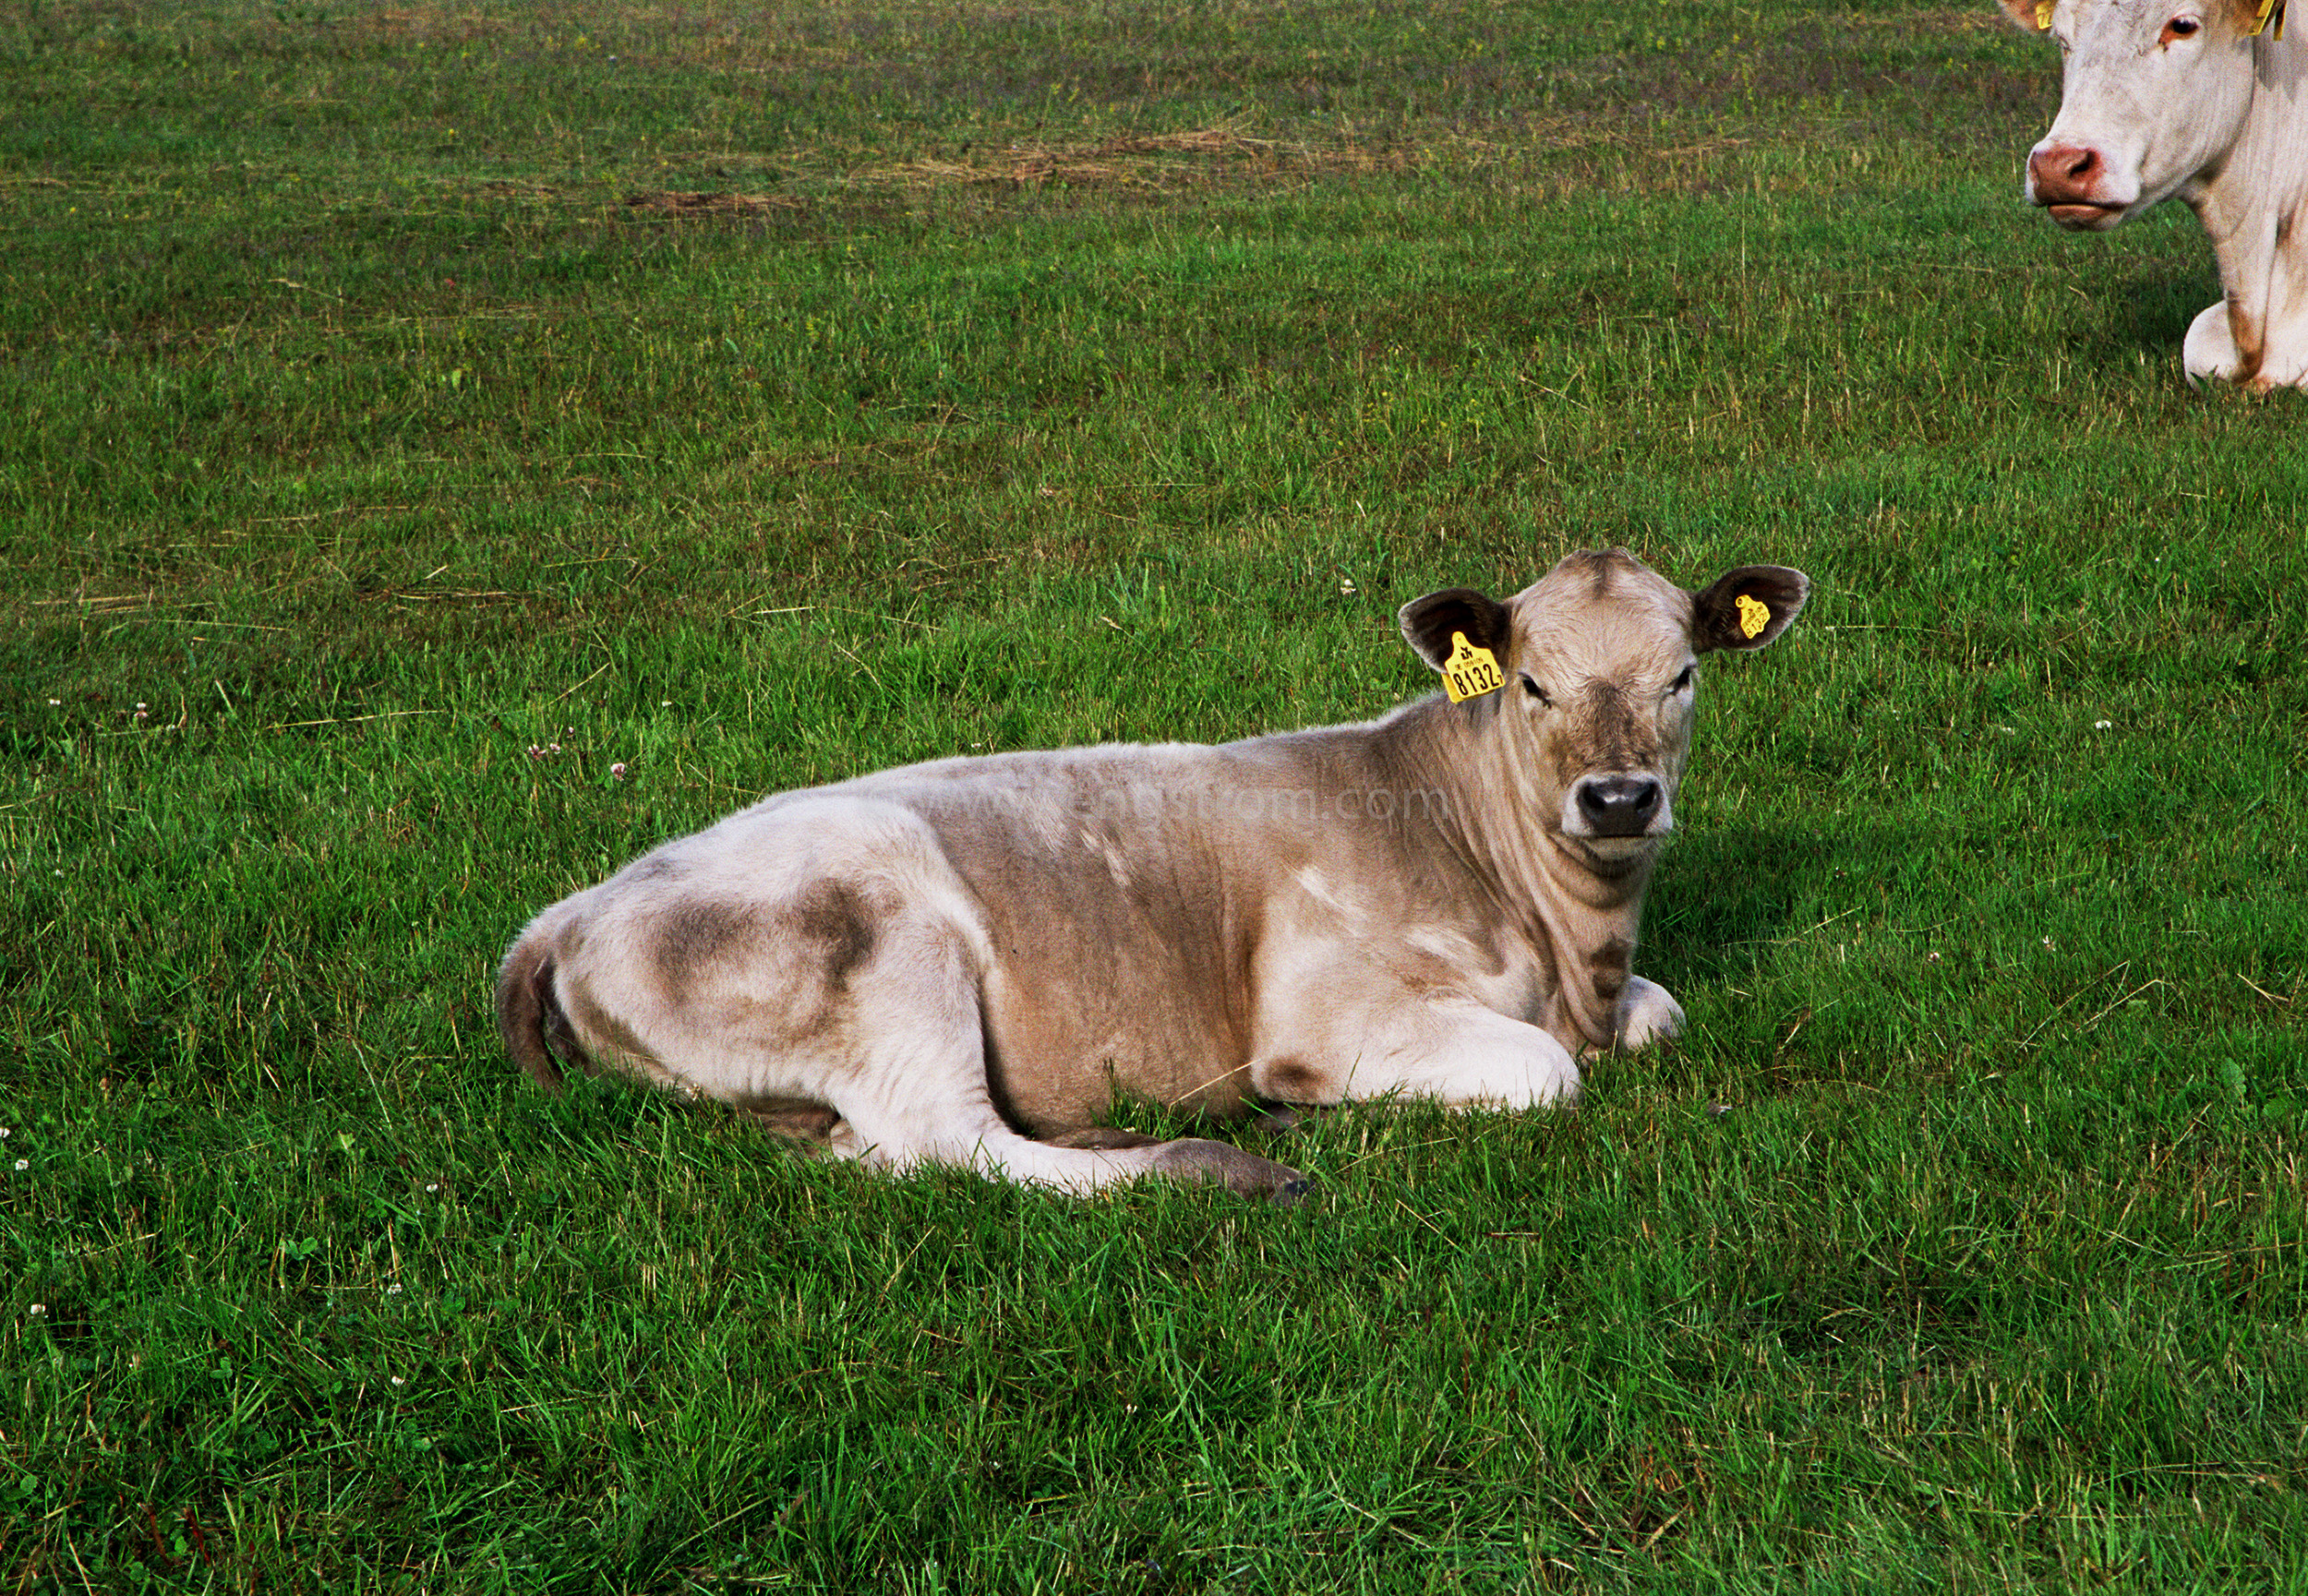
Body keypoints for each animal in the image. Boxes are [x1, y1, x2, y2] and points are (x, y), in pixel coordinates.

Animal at [496, 548, 1809, 1199]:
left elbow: (1662, 1014)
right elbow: (1545, 1074)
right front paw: (1304, 1107)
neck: (1569, 950)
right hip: (885, 951)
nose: (1619, 798)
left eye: (1683, 674)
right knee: (950, 1146)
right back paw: (1226, 1163)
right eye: (1532, 684)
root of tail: (574, 906)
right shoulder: (1333, 1013)